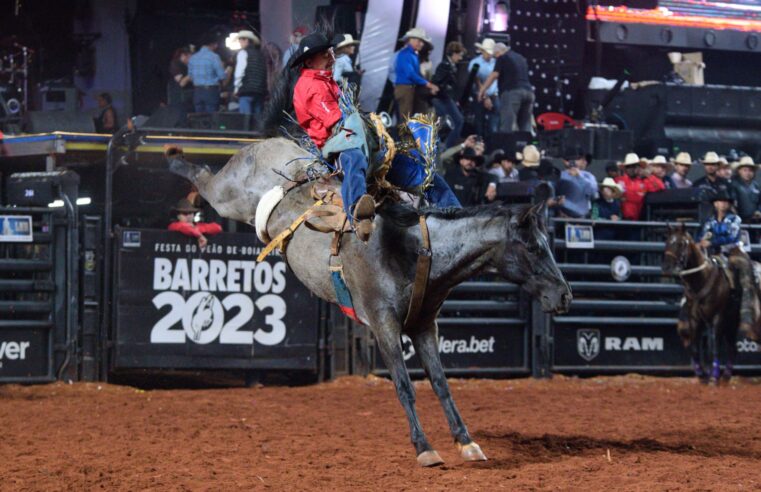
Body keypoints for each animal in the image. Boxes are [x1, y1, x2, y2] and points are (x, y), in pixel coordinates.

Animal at [165, 132, 568, 466]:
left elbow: (440, 384)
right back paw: (172, 155)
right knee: (203, 176)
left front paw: (466, 442)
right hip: (227, 196)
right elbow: (405, 386)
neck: (417, 250)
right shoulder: (383, 324)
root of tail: (271, 143)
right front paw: (425, 449)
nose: (564, 295)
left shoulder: (424, 326)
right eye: (534, 247)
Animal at [660, 225, 736, 382]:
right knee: (731, 346)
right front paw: (701, 374)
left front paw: (713, 376)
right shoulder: (694, 319)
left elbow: (714, 346)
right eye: (667, 242)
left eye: (681, 244)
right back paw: (726, 375)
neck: (702, 278)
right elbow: (695, 347)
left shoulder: (717, 318)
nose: (667, 267)